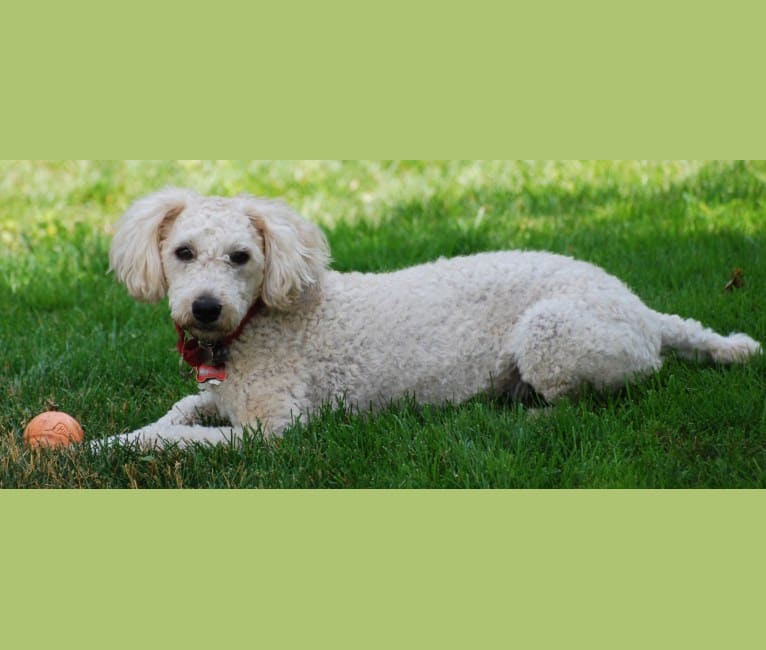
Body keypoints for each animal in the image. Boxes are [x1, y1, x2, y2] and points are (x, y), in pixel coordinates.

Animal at [103, 187, 760, 446]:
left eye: (242, 257)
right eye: (183, 252)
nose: (206, 307)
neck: (256, 326)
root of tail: (640, 307)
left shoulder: (277, 432)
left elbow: (177, 439)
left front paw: (123, 447)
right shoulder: (220, 396)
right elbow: (177, 412)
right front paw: (111, 440)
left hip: (552, 332)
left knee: (587, 404)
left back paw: (522, 416)